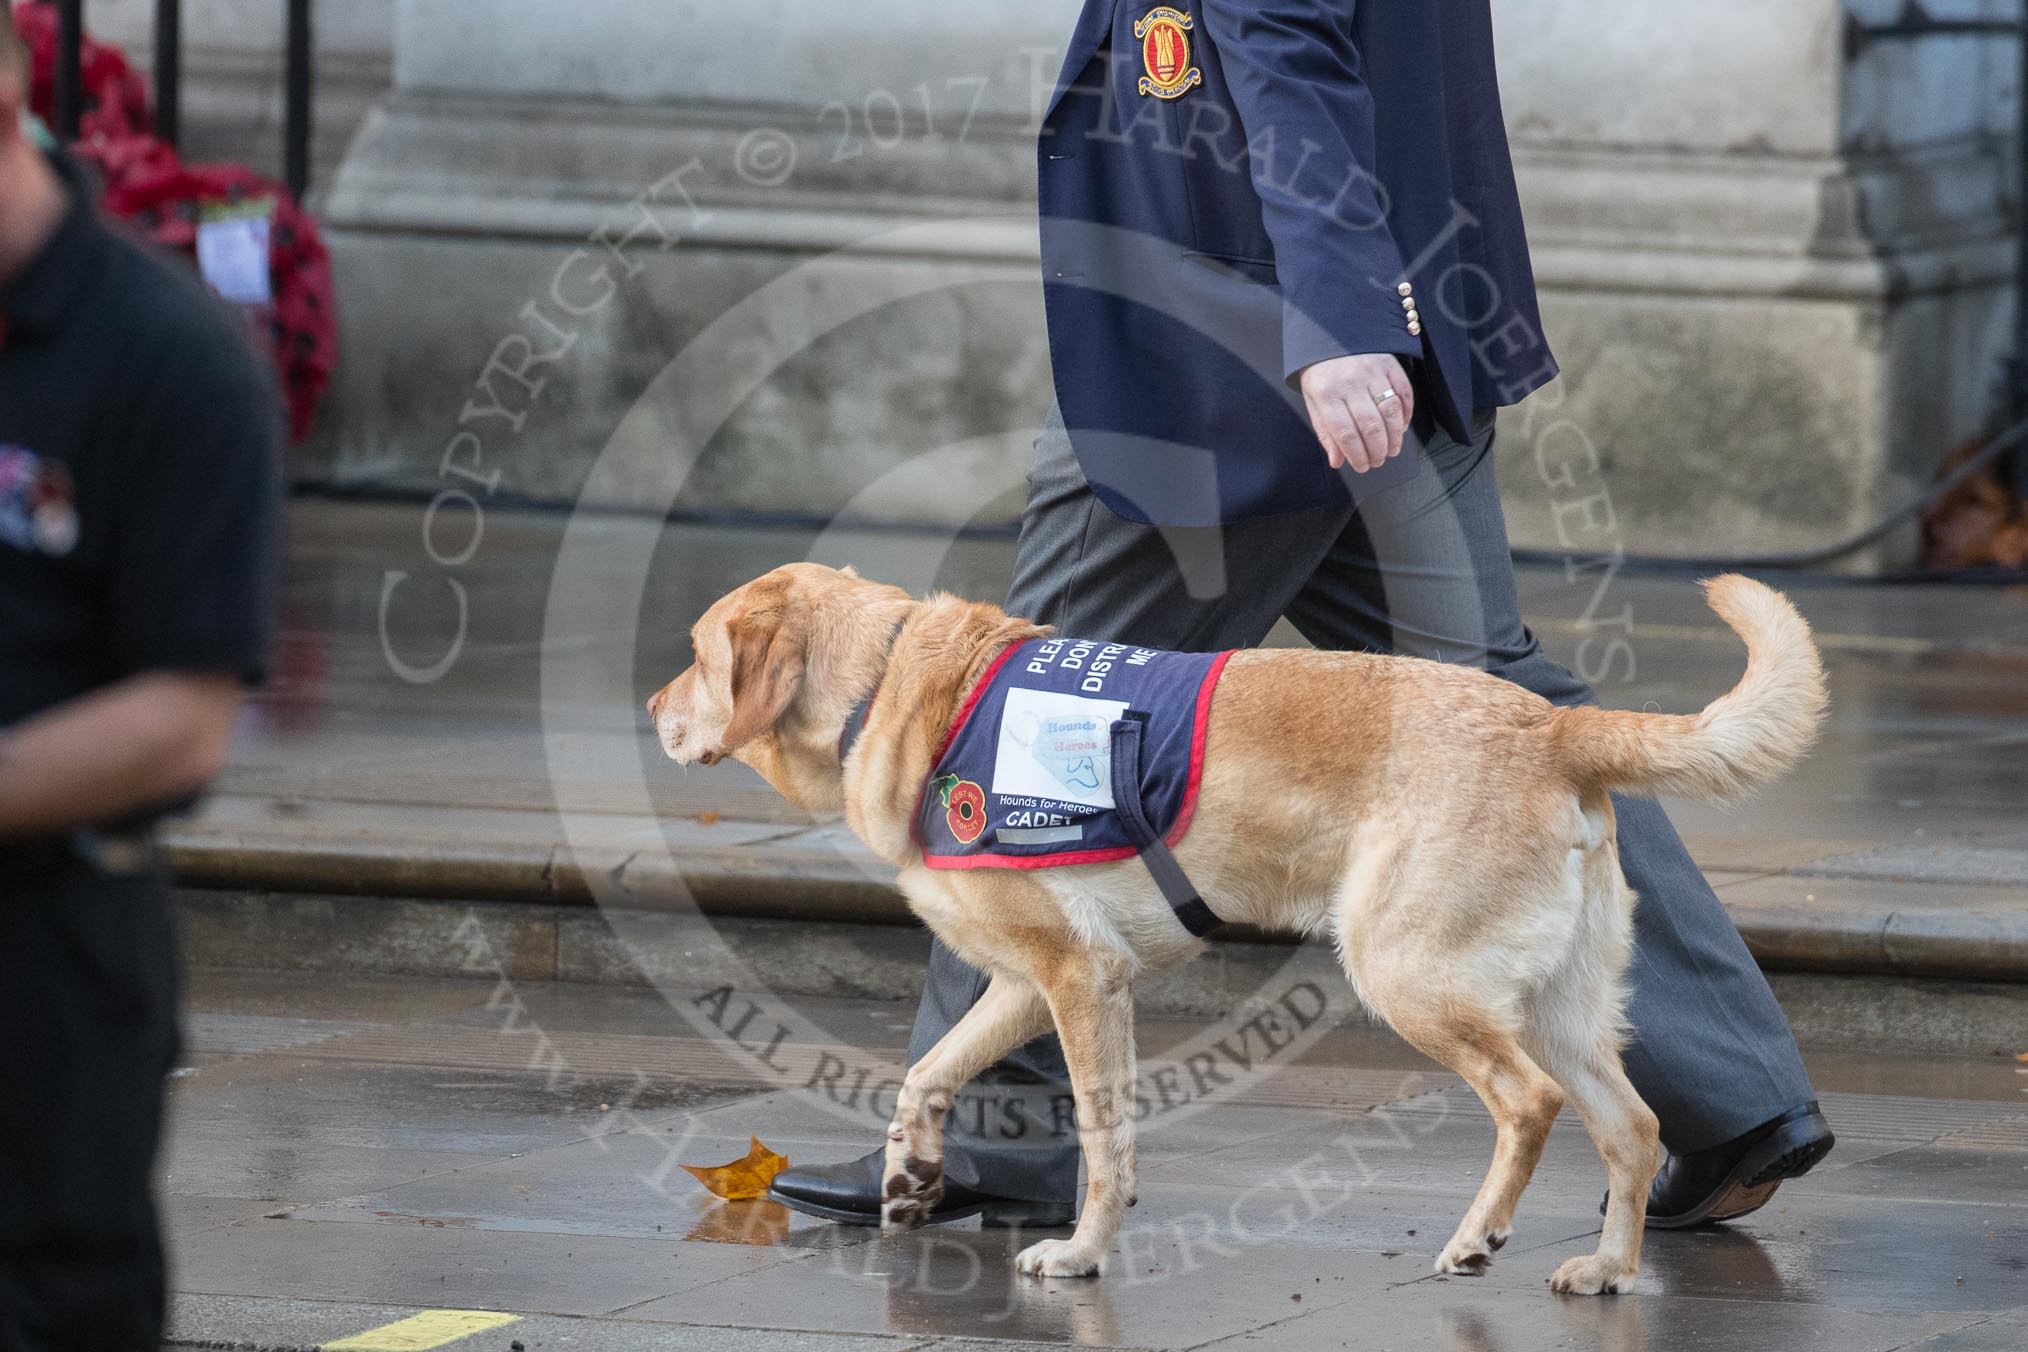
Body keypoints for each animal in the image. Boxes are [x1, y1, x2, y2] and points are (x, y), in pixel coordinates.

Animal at [648, 567, 1825, 1297]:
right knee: (1633, 1124)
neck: (891, 687)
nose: (652, 710)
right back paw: (1611, 1268)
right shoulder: (1035, 983)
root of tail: (1555, 725)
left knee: (1528, 1104)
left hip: (1410, 977)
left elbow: (1102, 1137)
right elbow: (926, 1072)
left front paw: (1081, 1252)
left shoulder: (1080, 976)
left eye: (696, 654)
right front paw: (909, 1174)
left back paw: (1477, 1235)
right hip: (1556, 1006)